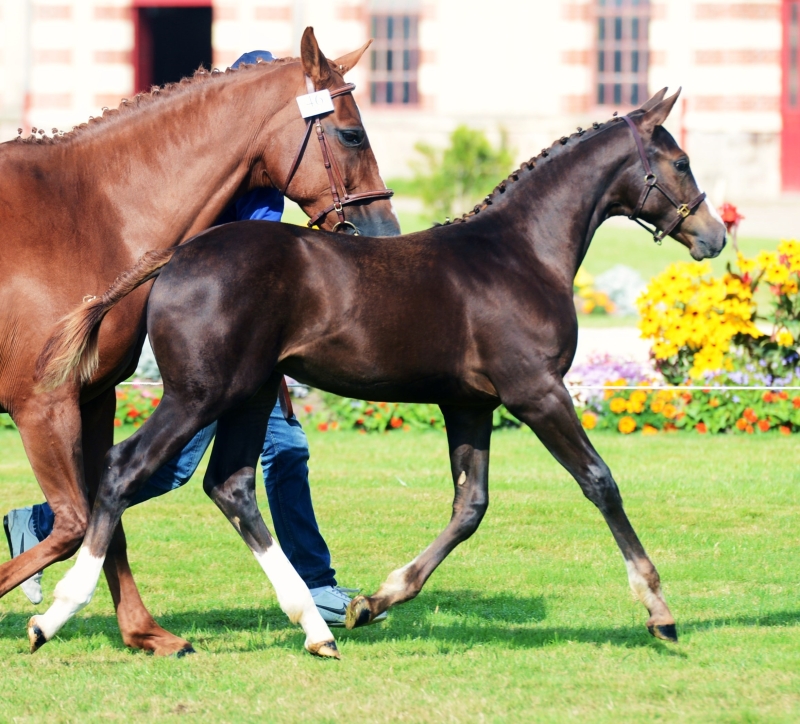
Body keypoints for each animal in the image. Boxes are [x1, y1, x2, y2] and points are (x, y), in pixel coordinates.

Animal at [0, 28, 400, 656]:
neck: (86, 215)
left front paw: (143, 632)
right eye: (351, 133)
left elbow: (104, 515)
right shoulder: (41, 404)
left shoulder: (94, 398)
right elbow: (74, 521)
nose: (387, 233)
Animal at [31, 89, 724, 656]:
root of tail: (176, 257)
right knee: (123, 469)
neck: (520, 254)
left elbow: (470, 506)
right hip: (198, 395)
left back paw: (316, 628)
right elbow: (599, 481)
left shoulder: (469, 404)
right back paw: (54, 614)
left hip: (248, 394)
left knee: (230, 486)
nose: (714, 235)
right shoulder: (537, 392)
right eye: (681, 163)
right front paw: (659, 611)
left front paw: (373, 602)